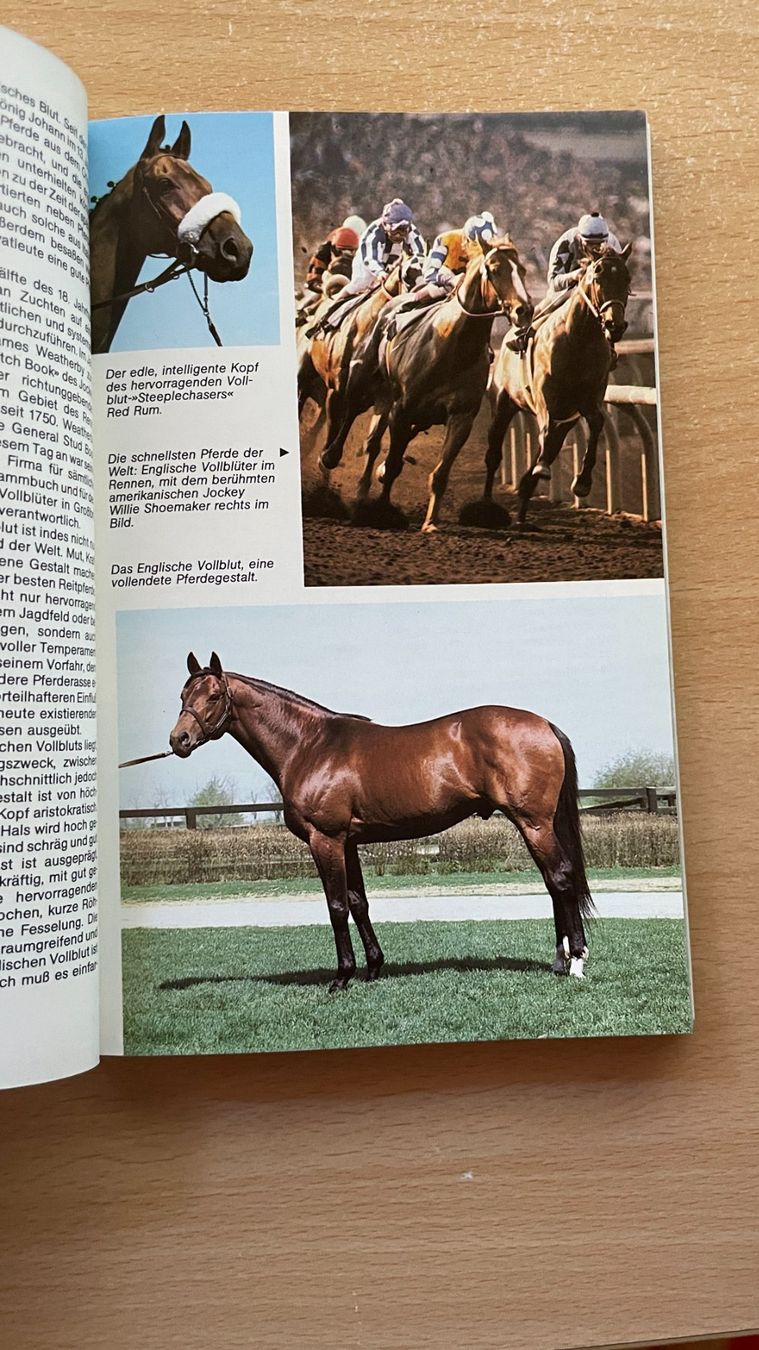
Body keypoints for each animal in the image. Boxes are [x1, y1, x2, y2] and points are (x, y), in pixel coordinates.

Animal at [169, 653, 593, 992]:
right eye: (183, 696)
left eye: (213, 696)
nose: (179, 740)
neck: (309, 745)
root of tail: (545, 725)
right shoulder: (348, 842)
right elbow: (359, 903)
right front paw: (373, 968)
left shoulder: (325, 839)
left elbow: (336, 906)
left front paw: (341, 977)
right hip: (535, 825)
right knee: (553, 883)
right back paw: (559, 961)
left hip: (534, 823)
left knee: (560, 878)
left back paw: (576, 961)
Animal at [318, 237, 533, 532]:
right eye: (495, 269)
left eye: (521, 270)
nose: (525, 310)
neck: (451, 347)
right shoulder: (402, 410)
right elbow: (393, 464)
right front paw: (382, 512)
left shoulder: (461, 416)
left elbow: (440, 473)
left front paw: (431, 522)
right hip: (362, 379)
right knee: (349, 411)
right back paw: (330, 457)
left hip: (390, 400)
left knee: (375, 440)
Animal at [485, 245, 632, 526]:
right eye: (598, 276)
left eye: (627, 280)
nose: (614, 325)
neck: (579, 341)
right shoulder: (546, 398)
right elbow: (545, 429)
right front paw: (543, 469)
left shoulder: (587, 402)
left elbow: (596, 424)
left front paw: (582, 482)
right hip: (504, 401)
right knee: (494, 452)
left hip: (566, 420)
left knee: (549, 445)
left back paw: (523, 505)